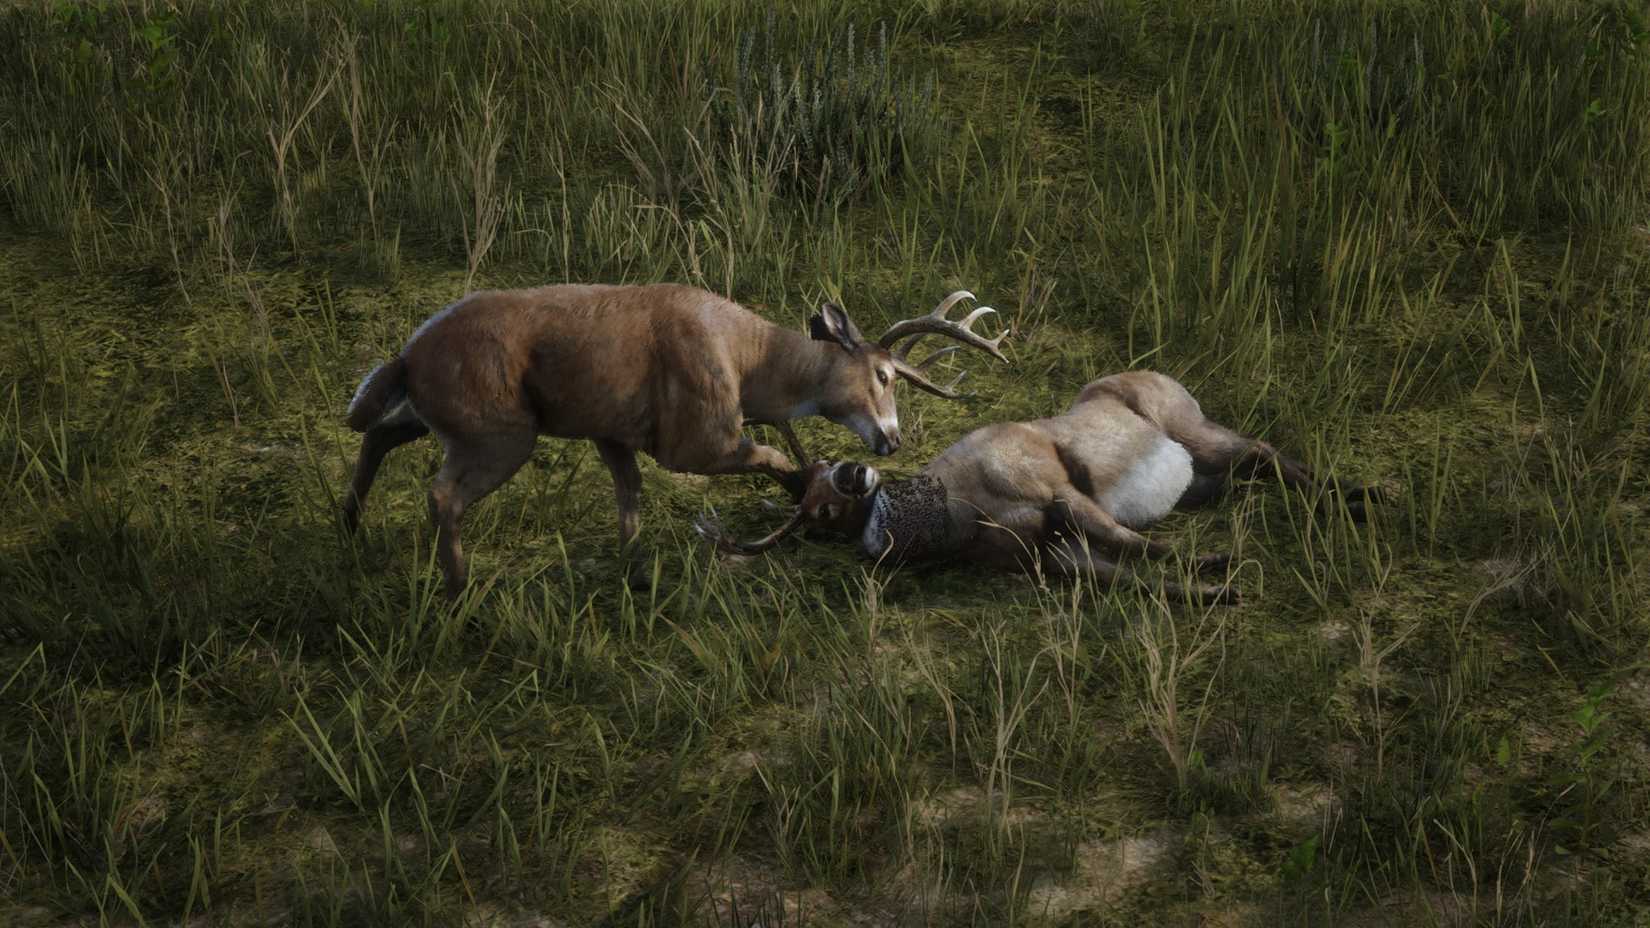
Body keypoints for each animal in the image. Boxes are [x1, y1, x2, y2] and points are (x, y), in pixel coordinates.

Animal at [340, 283, 1008, 599]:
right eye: (884, 374)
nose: (891, 442)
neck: (748, 361)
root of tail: (407, 356)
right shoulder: (694, 437)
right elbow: (768, 455)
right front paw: (811, 488)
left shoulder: (611, 431)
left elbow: (629, 495)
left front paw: (634, 569)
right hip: (498, 430)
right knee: (441, 495)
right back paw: (458, 589)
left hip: (443, 417)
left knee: (376, 432)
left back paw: (351, 527)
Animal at [699, 369, 1386, 605]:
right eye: (814, 514)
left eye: (826, 471)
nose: (853, 474)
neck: (963, 515)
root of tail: (1165, 375)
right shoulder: (1050, 556)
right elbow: (1131, 577)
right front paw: (1218, 592)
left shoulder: (1057, 491)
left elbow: (1135, 543)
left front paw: (1219, 562)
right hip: (1203, 480)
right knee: (1254, 467)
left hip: (1191, 429)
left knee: (1263, 449)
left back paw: (1367, 496)